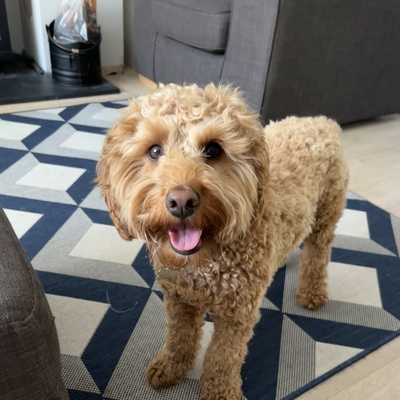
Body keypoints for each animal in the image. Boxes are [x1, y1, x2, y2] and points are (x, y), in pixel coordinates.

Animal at [96, 83, 346, 398]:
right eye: (154, 150)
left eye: (213, 149)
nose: (182, 201)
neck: (205, 260)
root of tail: (321, 121)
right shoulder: (179, 300)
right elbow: (179, 337)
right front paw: (171, 366)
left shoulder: (237, 315)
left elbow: (223, 357)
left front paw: (219, 391)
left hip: (326, 213)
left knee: (318, 253)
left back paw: (312, 293)